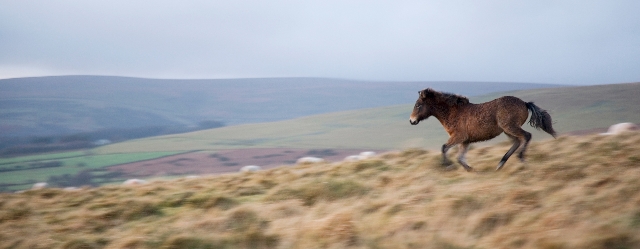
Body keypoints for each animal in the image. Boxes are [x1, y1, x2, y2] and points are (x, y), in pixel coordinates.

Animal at [410, 88, 556, 172]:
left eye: (418, 105)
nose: (412, 121)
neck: (453, 113)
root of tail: (525, 103)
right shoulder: (465, 141)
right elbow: (460, 158)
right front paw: (471, 170)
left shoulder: (459, 137)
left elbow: (444, 148)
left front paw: (448, 166)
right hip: (507, 130)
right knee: (517, 142)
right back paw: (500, 164)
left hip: (510, 127)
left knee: (526, 136)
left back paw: (521, 159)